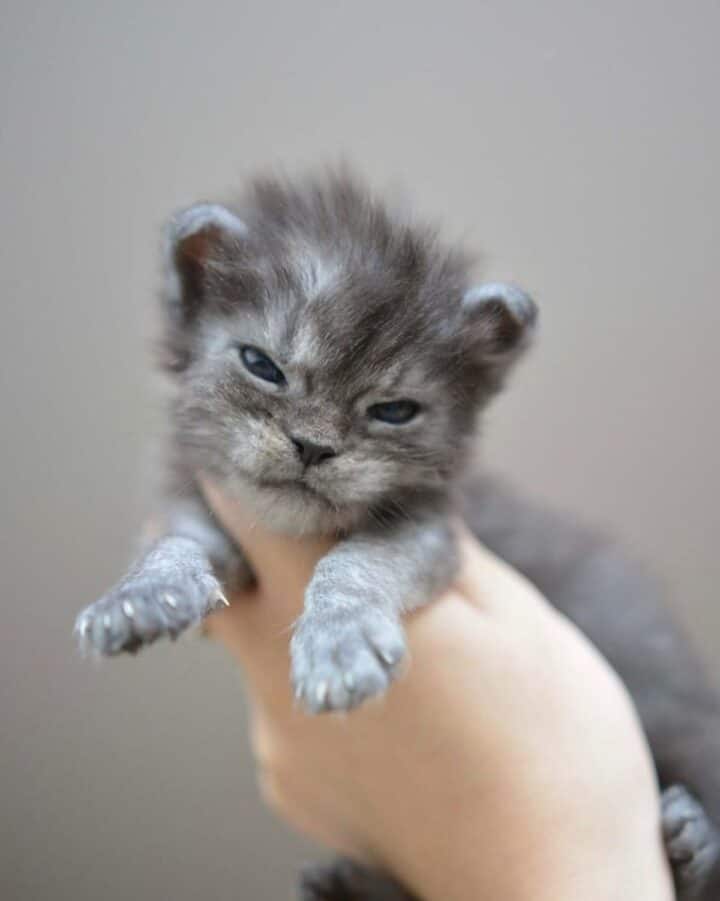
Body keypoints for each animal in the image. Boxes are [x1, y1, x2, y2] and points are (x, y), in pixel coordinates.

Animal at [74, 171, 720, 900]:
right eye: (261, 365)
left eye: (393, 410)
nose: (313, 446)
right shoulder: (191, 503)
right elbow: (173, 546)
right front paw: (140, 598)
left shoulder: (432, 533)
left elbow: (356, 561)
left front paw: (340, 643)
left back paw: (694, 839)